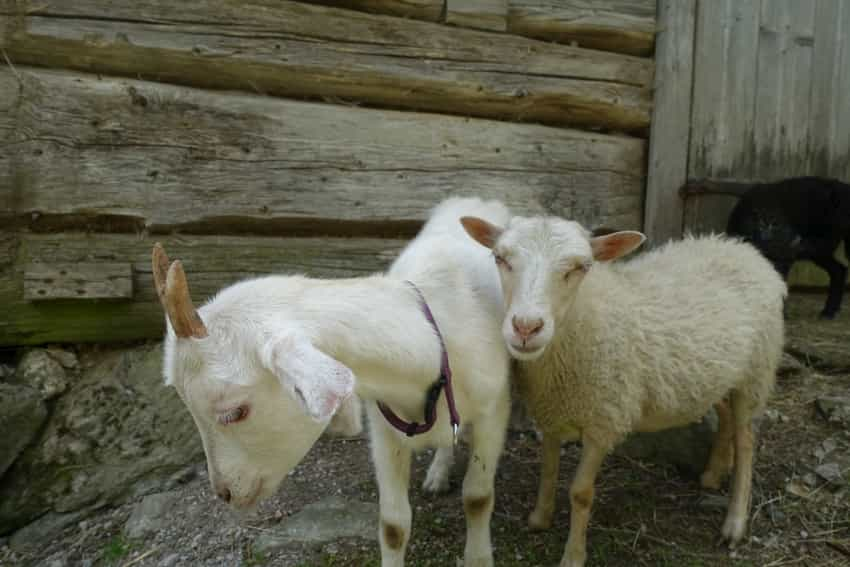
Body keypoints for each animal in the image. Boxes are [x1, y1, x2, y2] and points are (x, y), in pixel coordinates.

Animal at [460, 214, 784, 567]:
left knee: (747, 442)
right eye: (500, 258)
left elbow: (581, 493)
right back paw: (713, 473)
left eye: (581, 266)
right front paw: (539, 518)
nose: (526, 327)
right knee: (724, 415)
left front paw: (573, 555)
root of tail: (744, 250)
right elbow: (548, 470)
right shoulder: (552, 412)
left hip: (755, 374)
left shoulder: (604, 420)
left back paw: (735, 522)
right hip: (722, 375)